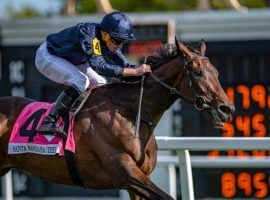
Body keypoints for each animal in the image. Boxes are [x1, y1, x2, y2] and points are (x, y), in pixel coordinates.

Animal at [0, 38, 234, 198]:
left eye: (216, 72)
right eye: (198, 73)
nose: (227, 108)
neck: (129, 112)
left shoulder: (139, 179)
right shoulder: (126, 174)